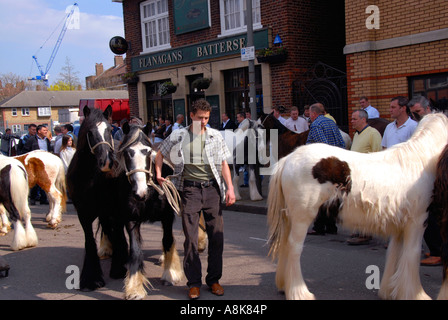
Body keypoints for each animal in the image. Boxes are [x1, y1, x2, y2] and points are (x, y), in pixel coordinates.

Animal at [67, 105, 182, 300]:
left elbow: (168, 240)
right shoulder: (125, 217)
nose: (107, 161)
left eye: (147, 152)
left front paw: (170, 275)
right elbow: (132, 251)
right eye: (127, 153)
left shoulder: (167, 216)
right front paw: (133, 287)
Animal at [268, 112, 446, 300]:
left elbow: (394, 253)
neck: (419, 162)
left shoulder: (399, 226)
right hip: (302, 218)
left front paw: (389, 291)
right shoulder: (417, 222)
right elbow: (412, 254)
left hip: (289, 218)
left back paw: (284, 285)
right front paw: (416, 294)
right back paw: (299, 292)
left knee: (285, 245)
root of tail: (287, 160)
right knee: (294, 248)